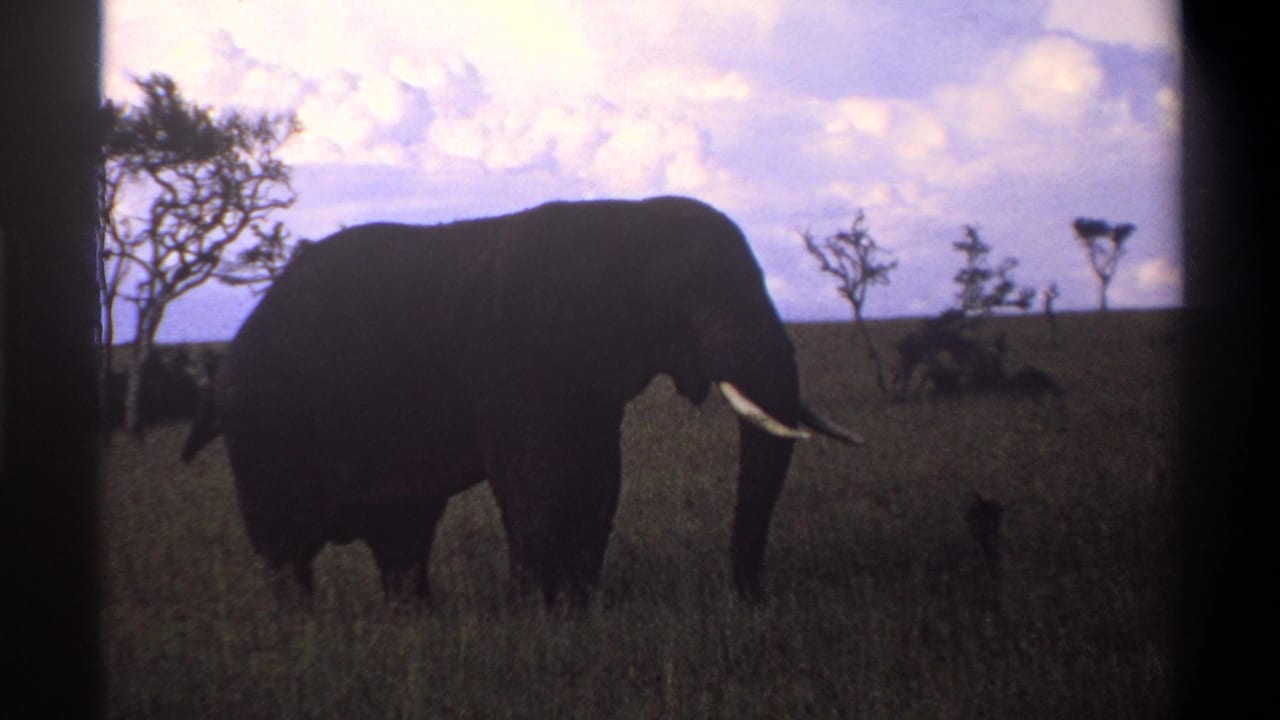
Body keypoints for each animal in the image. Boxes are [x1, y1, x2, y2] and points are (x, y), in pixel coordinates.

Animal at [181, 195, 860, 606]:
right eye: (696, 295)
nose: (751, 599)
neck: (626, 222)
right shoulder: (514, 358)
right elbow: (538, 481)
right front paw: (539, 617)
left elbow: (597, 481)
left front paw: (580, 610)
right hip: (267, 423)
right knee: (287, 543)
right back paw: (302, 629)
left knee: (402, 534)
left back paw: (418, 621)